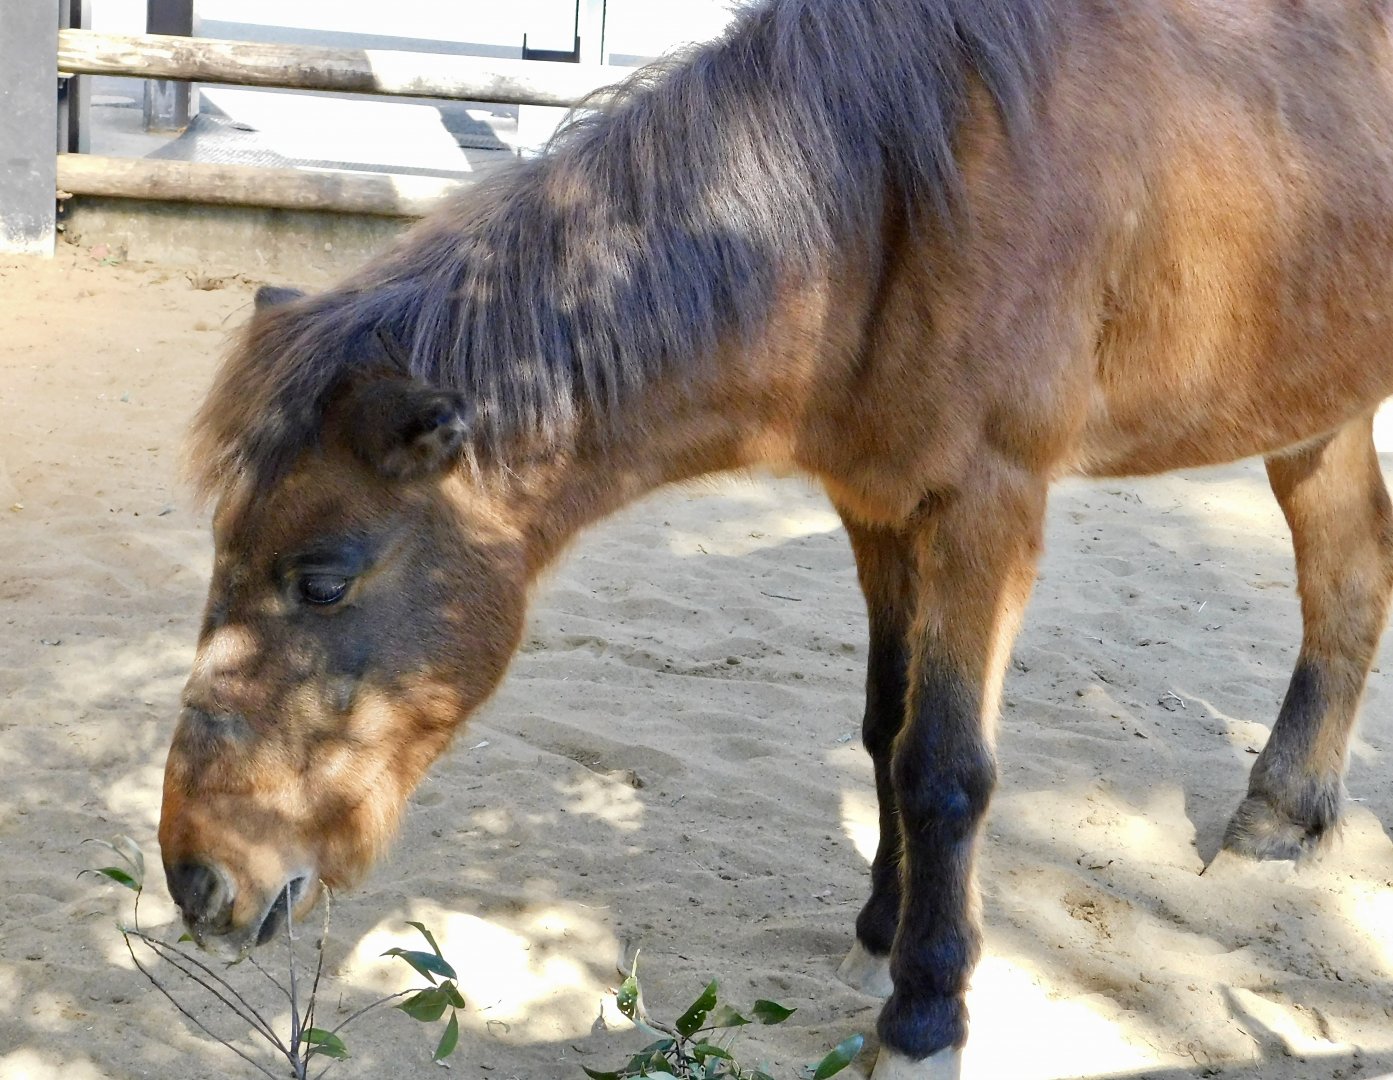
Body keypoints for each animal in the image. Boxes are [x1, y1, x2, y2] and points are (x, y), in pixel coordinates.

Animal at [156, 0, 1393, 1075]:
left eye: (322, 583)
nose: (196, 881)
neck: (898, 196)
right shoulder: (878, 506)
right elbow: (885, 731)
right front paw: (881, 937)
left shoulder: (986, 509)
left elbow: (944, 767)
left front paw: (925, 1015)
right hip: (1313, 416)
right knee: (1349, 576)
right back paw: (1277, 819)